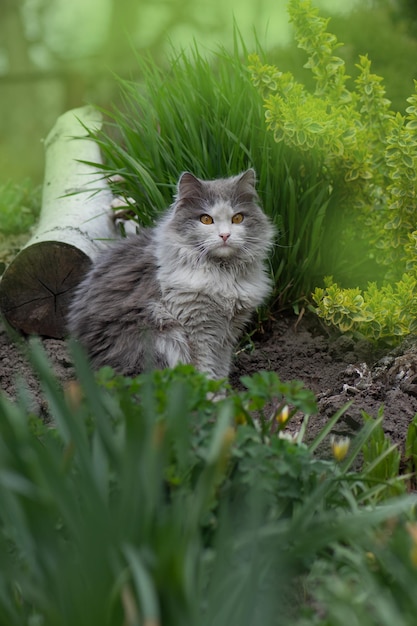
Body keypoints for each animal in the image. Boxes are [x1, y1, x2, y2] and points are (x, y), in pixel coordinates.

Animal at [66, 168, 274, 378]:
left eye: (237, 218)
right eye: (206, 219)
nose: (225, 235)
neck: (223, 273)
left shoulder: (228, 332)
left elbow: (221, 368)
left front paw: (223, 388)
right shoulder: (198, 329)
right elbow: (205, 369)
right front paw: (208, 388)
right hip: (162, 339)